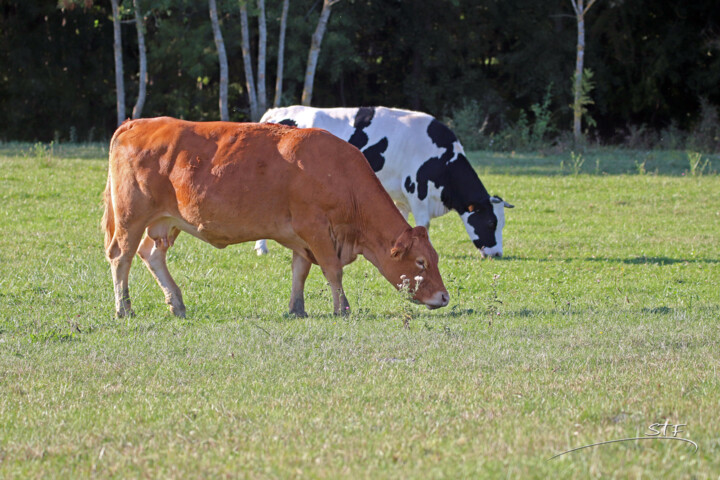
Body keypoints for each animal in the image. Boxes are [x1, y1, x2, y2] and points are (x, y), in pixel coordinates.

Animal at [101, 117, 450, 316]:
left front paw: (297, 309)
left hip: (166, 221)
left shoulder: (302, 238)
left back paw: (176, 303)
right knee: (121, 257)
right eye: (421, 262)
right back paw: (124, 308)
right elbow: (333, 270)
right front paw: (342, 308)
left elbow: (300, 272)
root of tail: (136, 122)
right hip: (131, 217)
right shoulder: (316, 229)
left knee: (151, 255)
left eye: (435, 258)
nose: (444, 297)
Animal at [253, 103, 512, 256]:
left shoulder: (401, 195)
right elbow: (424, 224)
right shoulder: (417, 188)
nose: (497, 254)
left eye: (502, 223)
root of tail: (275, 111)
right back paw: (262, 248)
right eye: (491, 222)